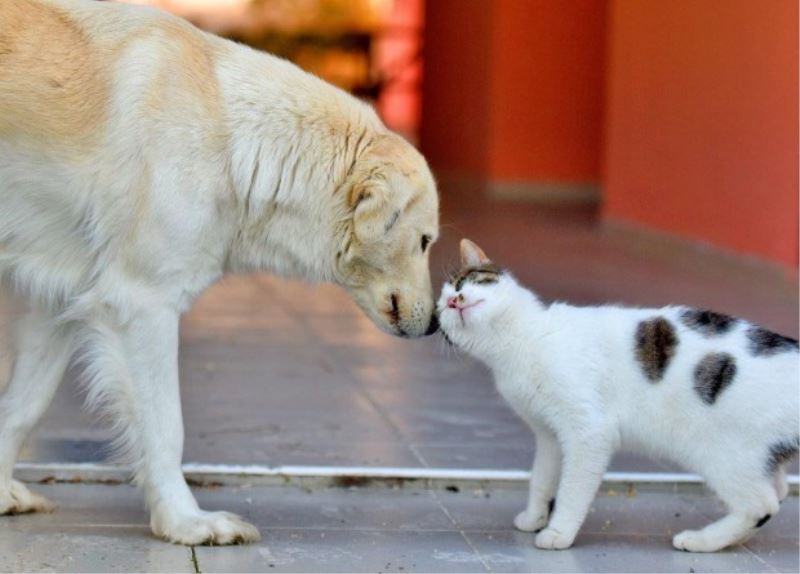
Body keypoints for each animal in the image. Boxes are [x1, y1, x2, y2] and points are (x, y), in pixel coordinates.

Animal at [0, 0, 440, 548]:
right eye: (424, 241)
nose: (437, 325)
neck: (232, 136)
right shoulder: (142, 305)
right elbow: (166, 428)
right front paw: (186, 523)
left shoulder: (59, 300)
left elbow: (23, 404)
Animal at [438, 238, 800, 552]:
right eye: (442, 311)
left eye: (463, 283)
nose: (454, 301)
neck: (518, 343)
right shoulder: (549, 434)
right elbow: (541, 478)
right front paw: (534, 518)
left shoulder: (588, 431)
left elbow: (572, 489)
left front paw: (558, 532)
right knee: (778, 490)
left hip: (722, 454)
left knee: (761, 504)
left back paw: (700, 541)